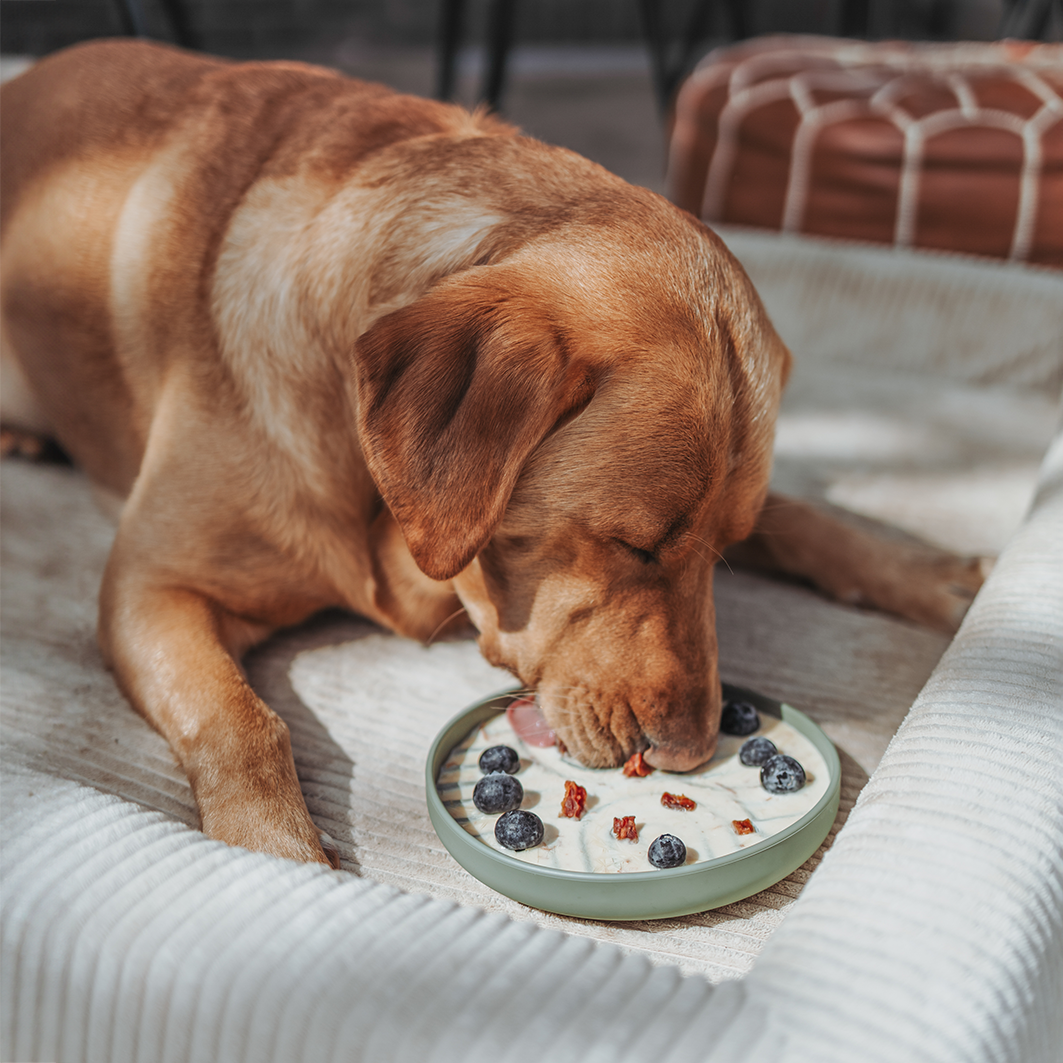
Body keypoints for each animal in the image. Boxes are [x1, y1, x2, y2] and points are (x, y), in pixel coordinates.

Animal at [0, 43, 977, 871]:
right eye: (632, 545)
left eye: (719, 552)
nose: (694, 750)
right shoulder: (149, 586)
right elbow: (241, 722)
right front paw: (278, 858)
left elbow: (808, 517)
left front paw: (923, 573)